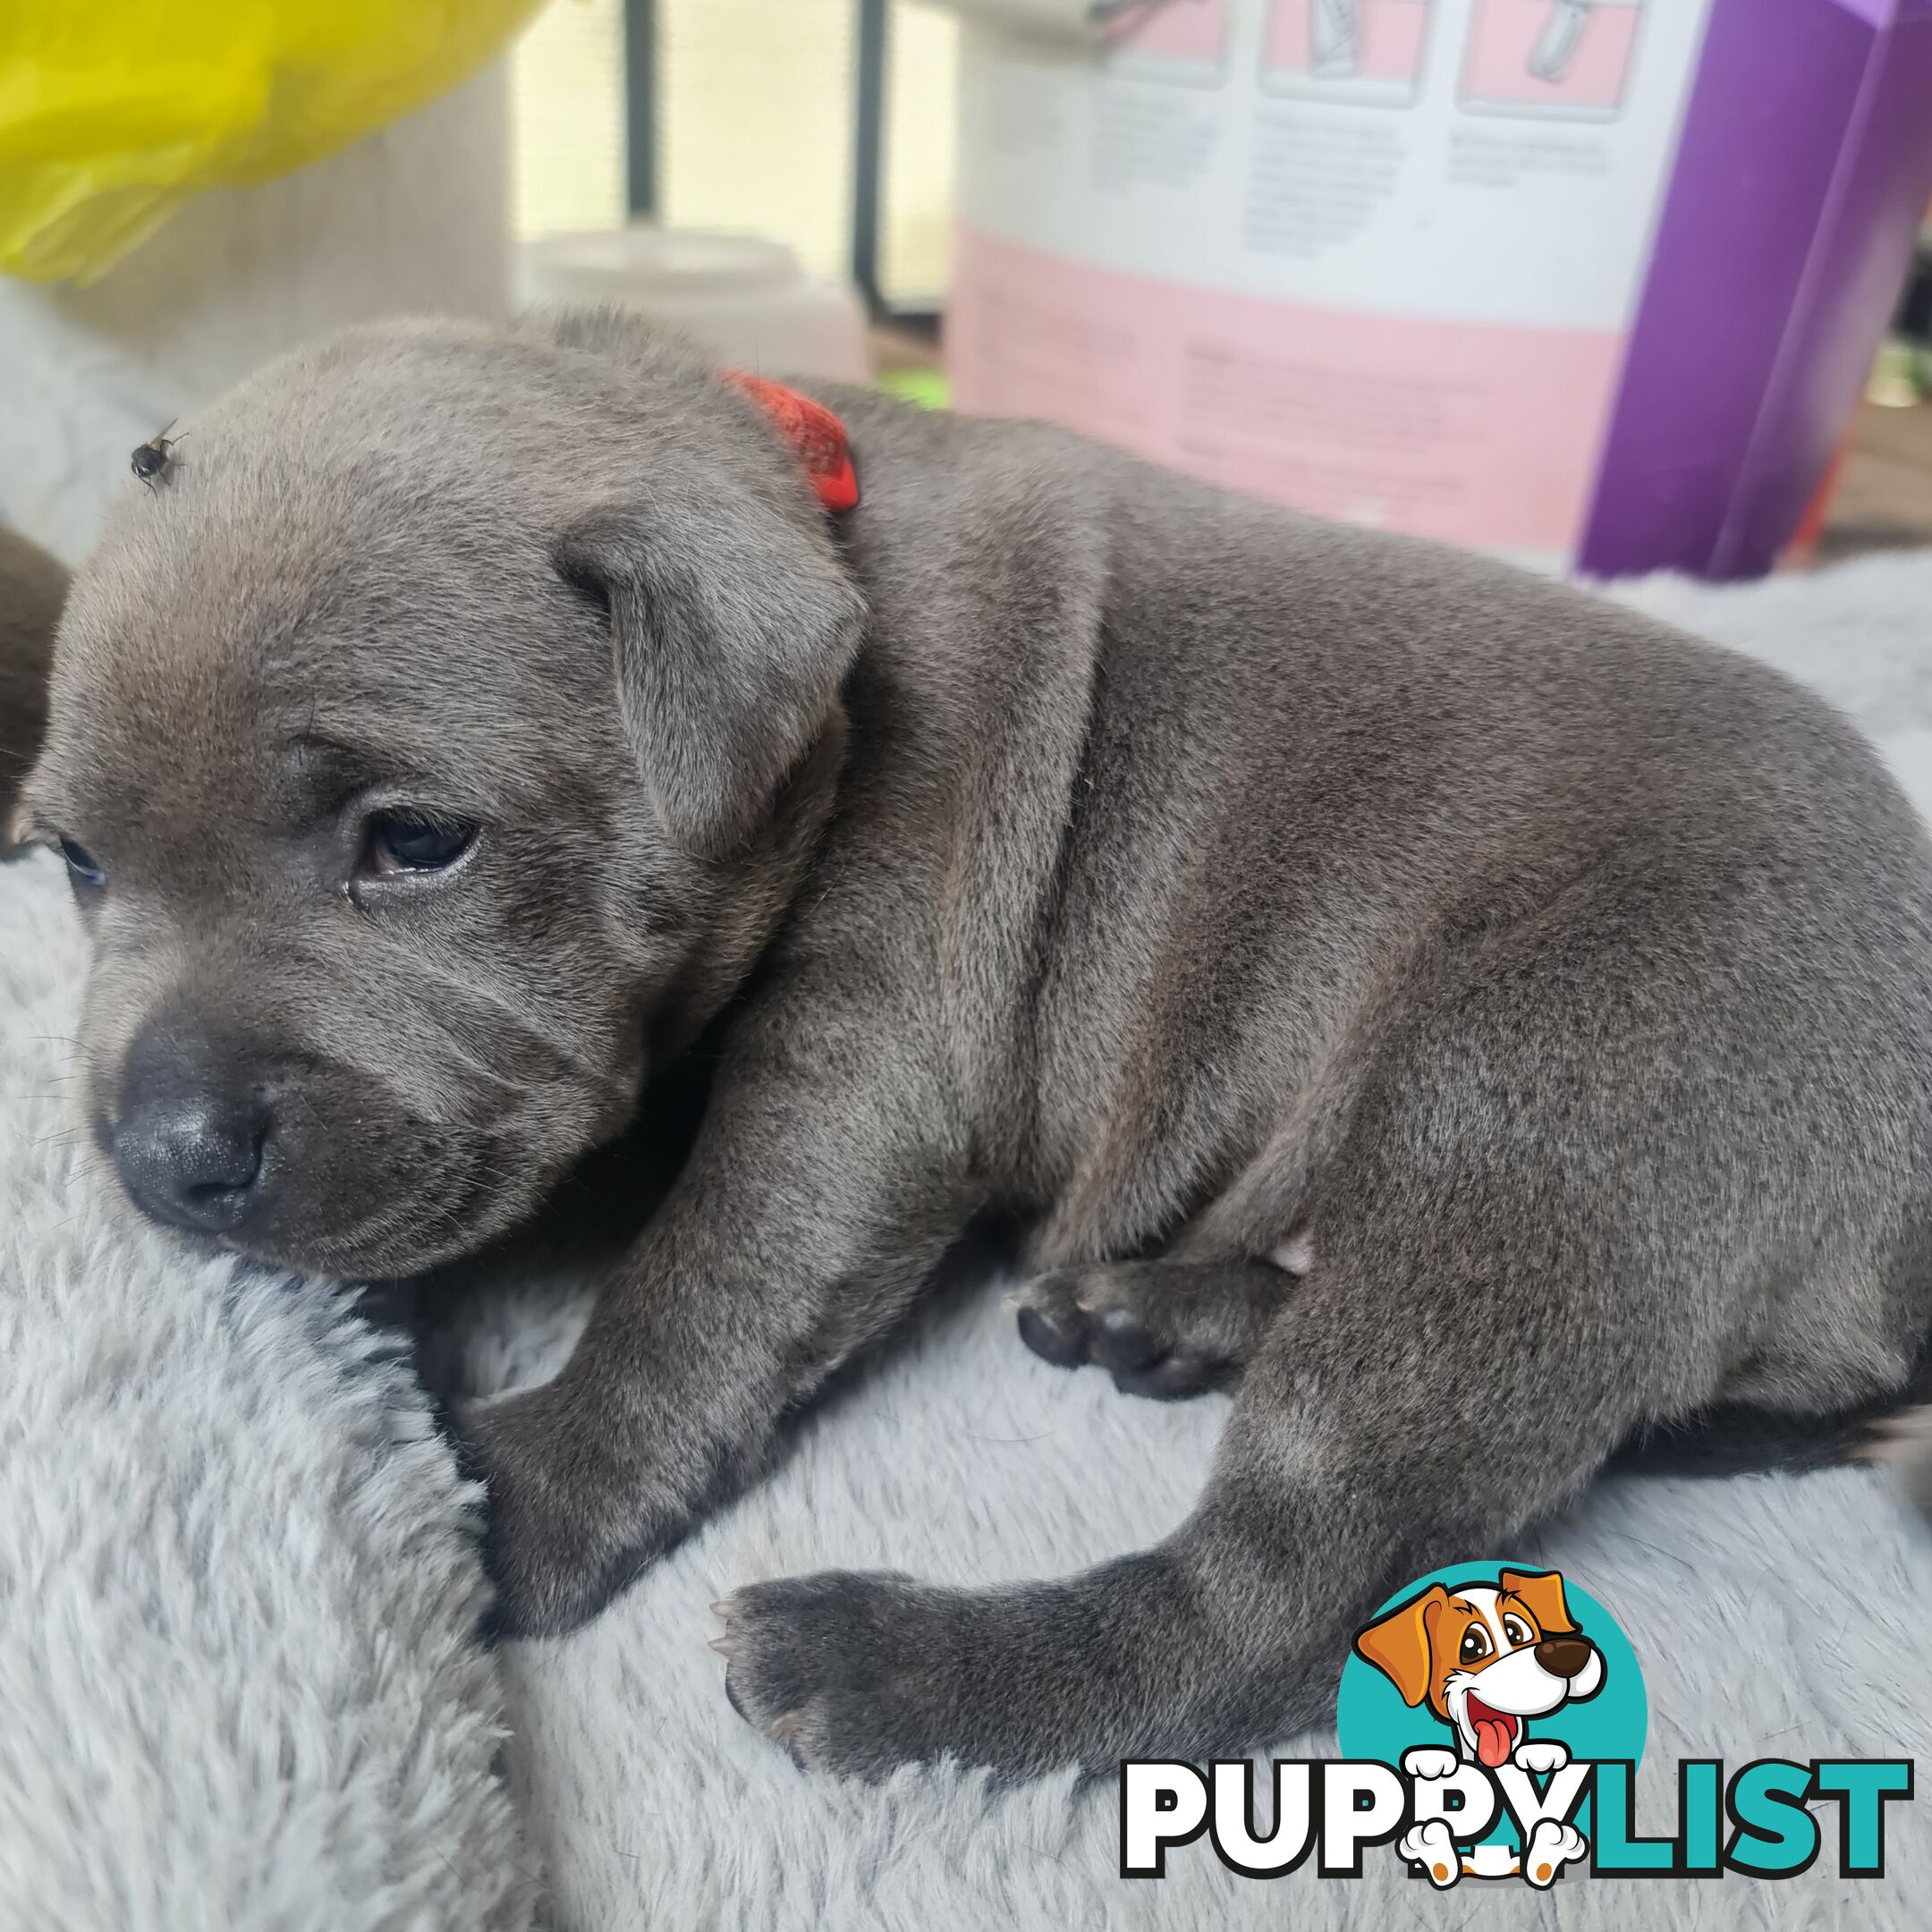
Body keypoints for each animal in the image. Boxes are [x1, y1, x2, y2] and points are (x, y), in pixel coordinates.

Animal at [14, 312, 1932, 1777]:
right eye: (78, 864)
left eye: (417, 841)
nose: (168, 1159)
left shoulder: (870, 1067)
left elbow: (707, 1282)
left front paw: (514, 1499)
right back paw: (1169, 1309)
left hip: (1549, 1112)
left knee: (1286, 1602)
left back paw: (900, 1669)